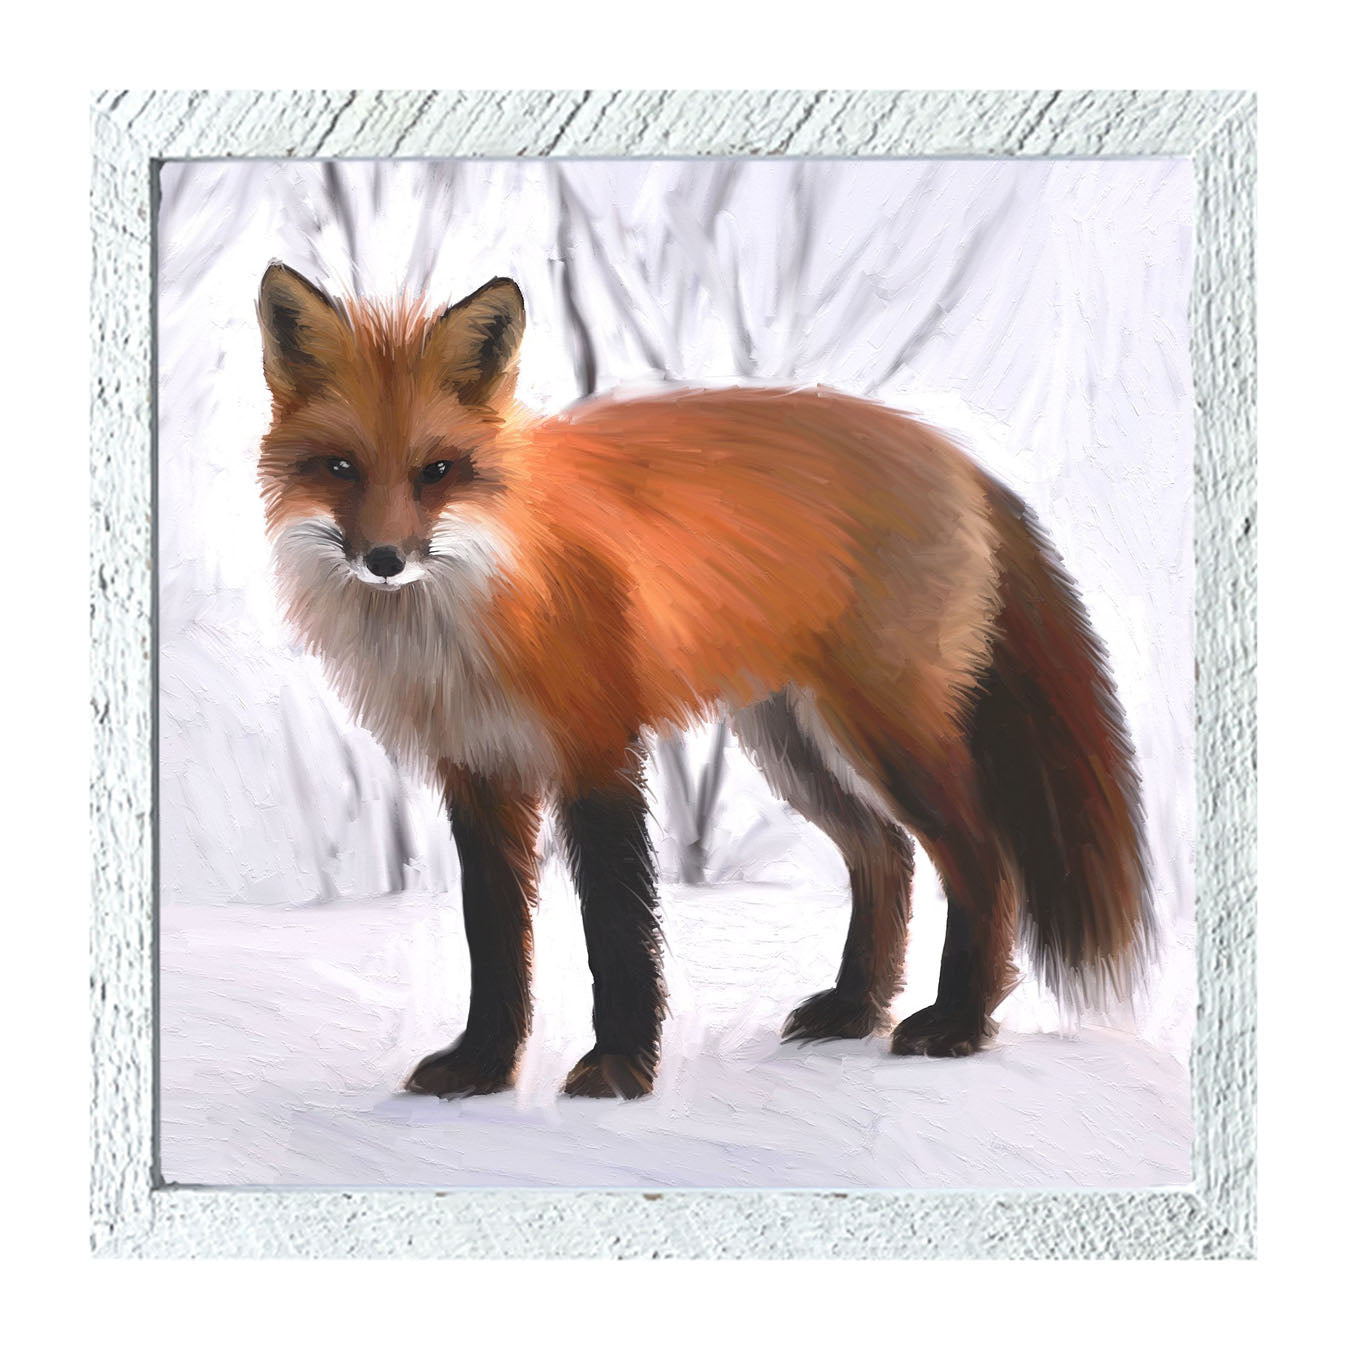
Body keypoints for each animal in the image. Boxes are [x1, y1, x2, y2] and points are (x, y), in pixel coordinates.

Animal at [256, 262, 1152, 1101]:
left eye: (437, 470)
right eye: (340, 467)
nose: (384, 560)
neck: (477, 610)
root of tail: (953, 454)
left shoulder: (597, 751)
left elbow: (617, 926)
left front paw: (619, 1069)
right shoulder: (478, 772)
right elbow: (496, 936)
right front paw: (482, 1066)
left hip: (888, 735)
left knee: (982, 862)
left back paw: (958, 1024)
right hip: (791, 744)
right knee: (884, 854)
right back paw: (856, 1009)